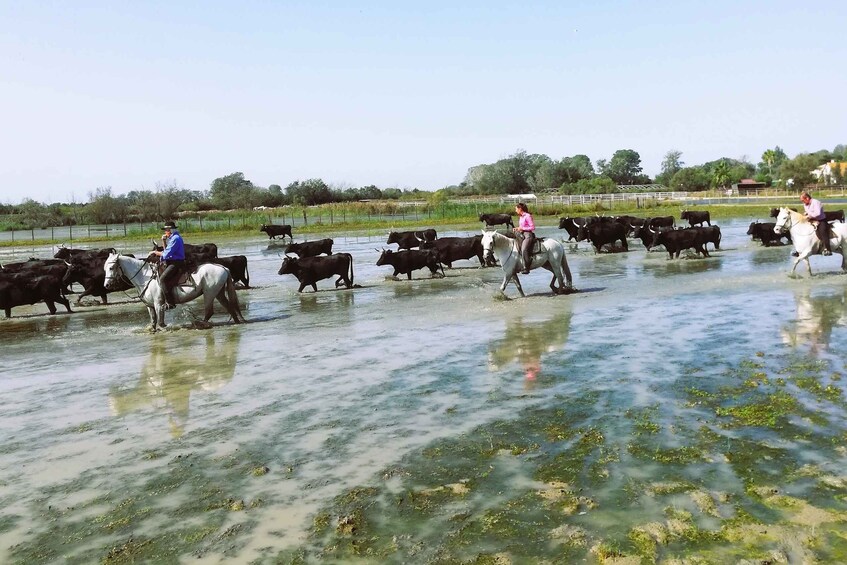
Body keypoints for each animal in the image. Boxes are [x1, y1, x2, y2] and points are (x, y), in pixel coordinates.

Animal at [104, 253, 245, 328]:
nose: (106, 285)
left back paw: (200, 324)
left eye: (111, 267)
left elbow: (160, 322)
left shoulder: (159, 304)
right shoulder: (150, 306)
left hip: (209, 293)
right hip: (218, 292)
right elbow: (153, 322)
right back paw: (236, 321)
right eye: (105, 268)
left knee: (209, 311)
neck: (145, 277)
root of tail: (223, 267)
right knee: (229, 306)